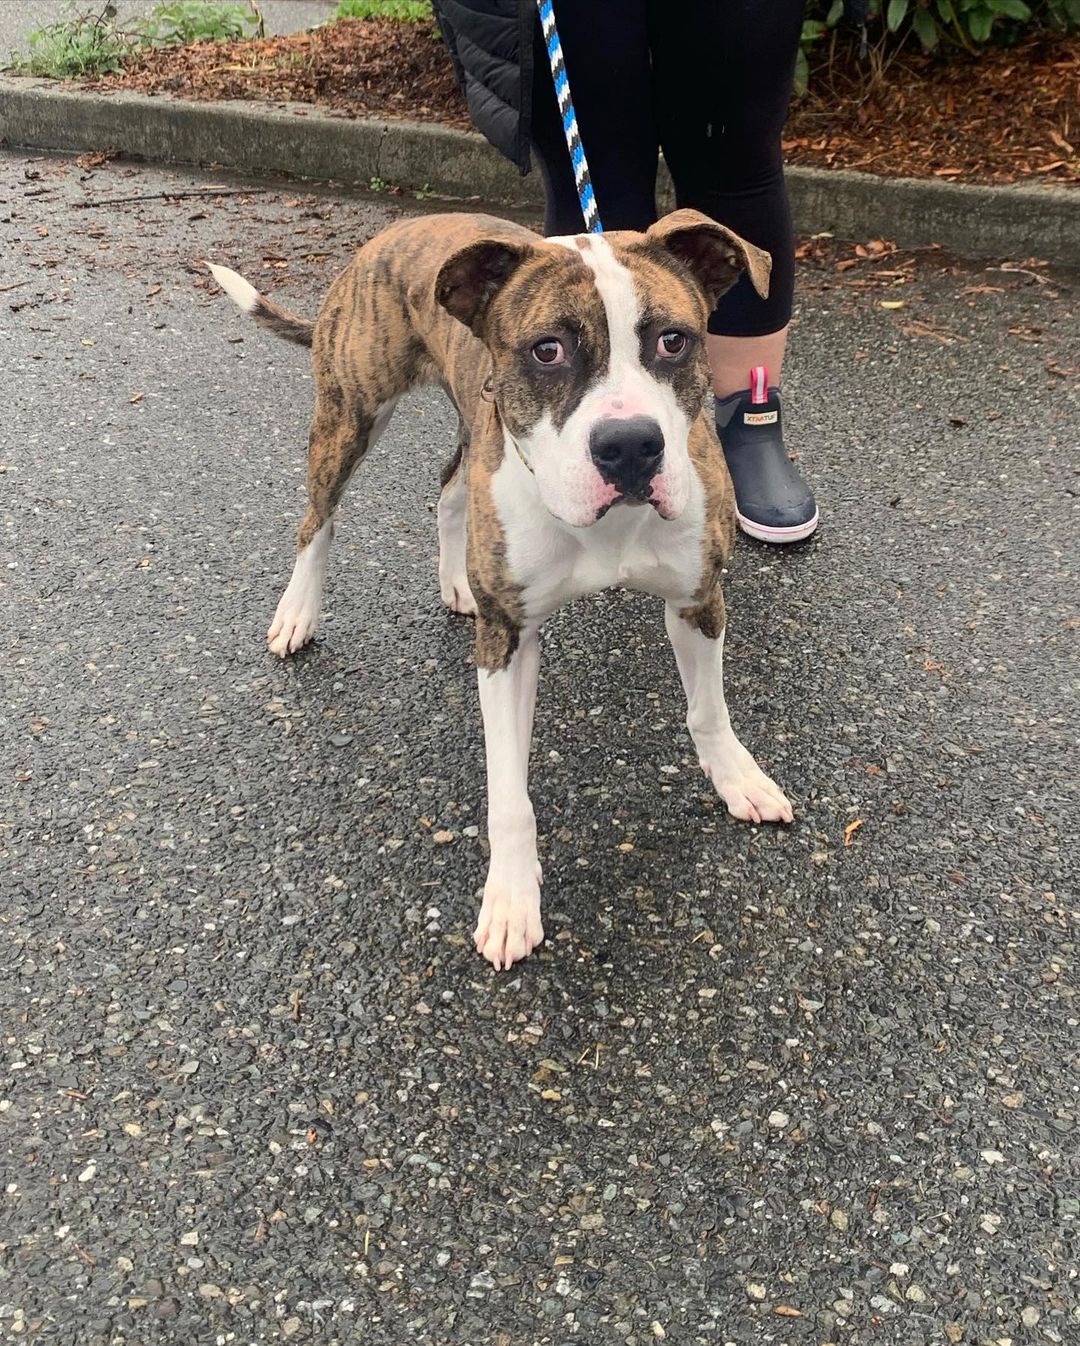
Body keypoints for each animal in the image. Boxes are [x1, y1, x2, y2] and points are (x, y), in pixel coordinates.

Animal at [208, 207, 791, 969]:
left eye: (673, 340)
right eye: (547, 351)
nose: (630, 446)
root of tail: (403, 229)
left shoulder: (697, 599)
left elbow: (709, 712)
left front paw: (737, 777)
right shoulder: (508, 643)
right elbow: (509, 792)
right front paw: (513, 896)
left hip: (464, 421)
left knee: (450, 486)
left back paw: (455, 580)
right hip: (349, 411)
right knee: (318, 520)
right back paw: (298, 613)